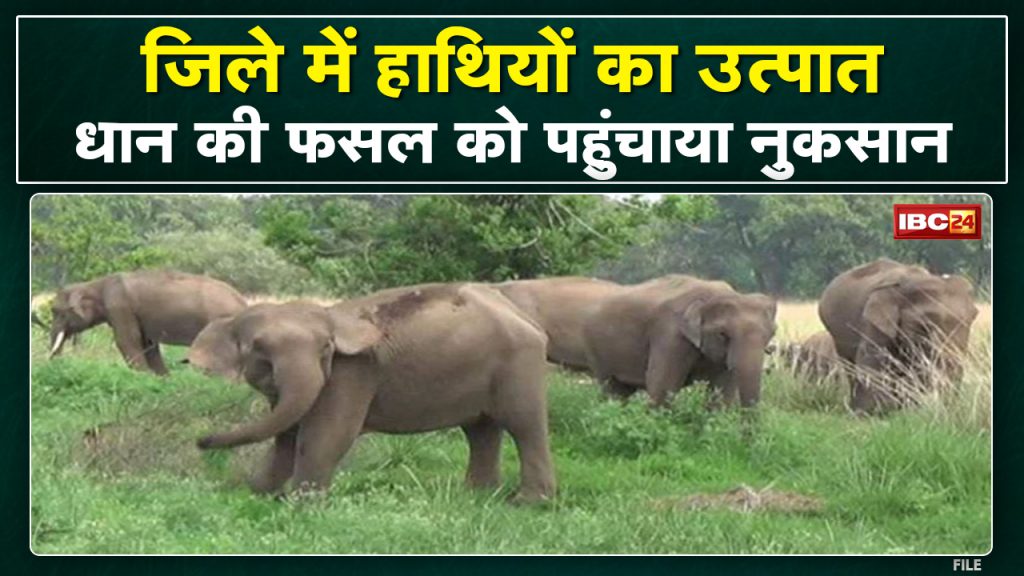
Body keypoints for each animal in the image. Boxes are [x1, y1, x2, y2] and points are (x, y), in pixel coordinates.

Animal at [47, 270, 247, 374]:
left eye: (56, 312)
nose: (56, 364)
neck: (95, 284)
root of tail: (242, 301)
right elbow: (148, 345)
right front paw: (163, 377)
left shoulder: (120, 307)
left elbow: (127, 341)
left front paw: (143, 375)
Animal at [186, 283, 556, 502]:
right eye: (258, 350)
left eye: (325, 349)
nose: (201, 441)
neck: (329, 315)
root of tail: (520, 314)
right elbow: (288, 436)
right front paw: (257, 496)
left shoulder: (351, 375)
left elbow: (327, 435)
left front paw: (303, 505)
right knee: (480, 430)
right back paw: (475, 498)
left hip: (519, 364)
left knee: (524, 426)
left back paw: (528, 504)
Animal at [582, 275, 777, 408]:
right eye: (723, 334)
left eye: (772, 333)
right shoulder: (670, 336)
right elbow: (662, 387)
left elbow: (722, 392)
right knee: (611, 389)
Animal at [818, 258, 980, 414]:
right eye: (926, 324)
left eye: (973, 317)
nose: (948, 409)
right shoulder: (873, 322)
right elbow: (870, 364)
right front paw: (871, 412)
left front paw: (907, 410)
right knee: (850, 365)